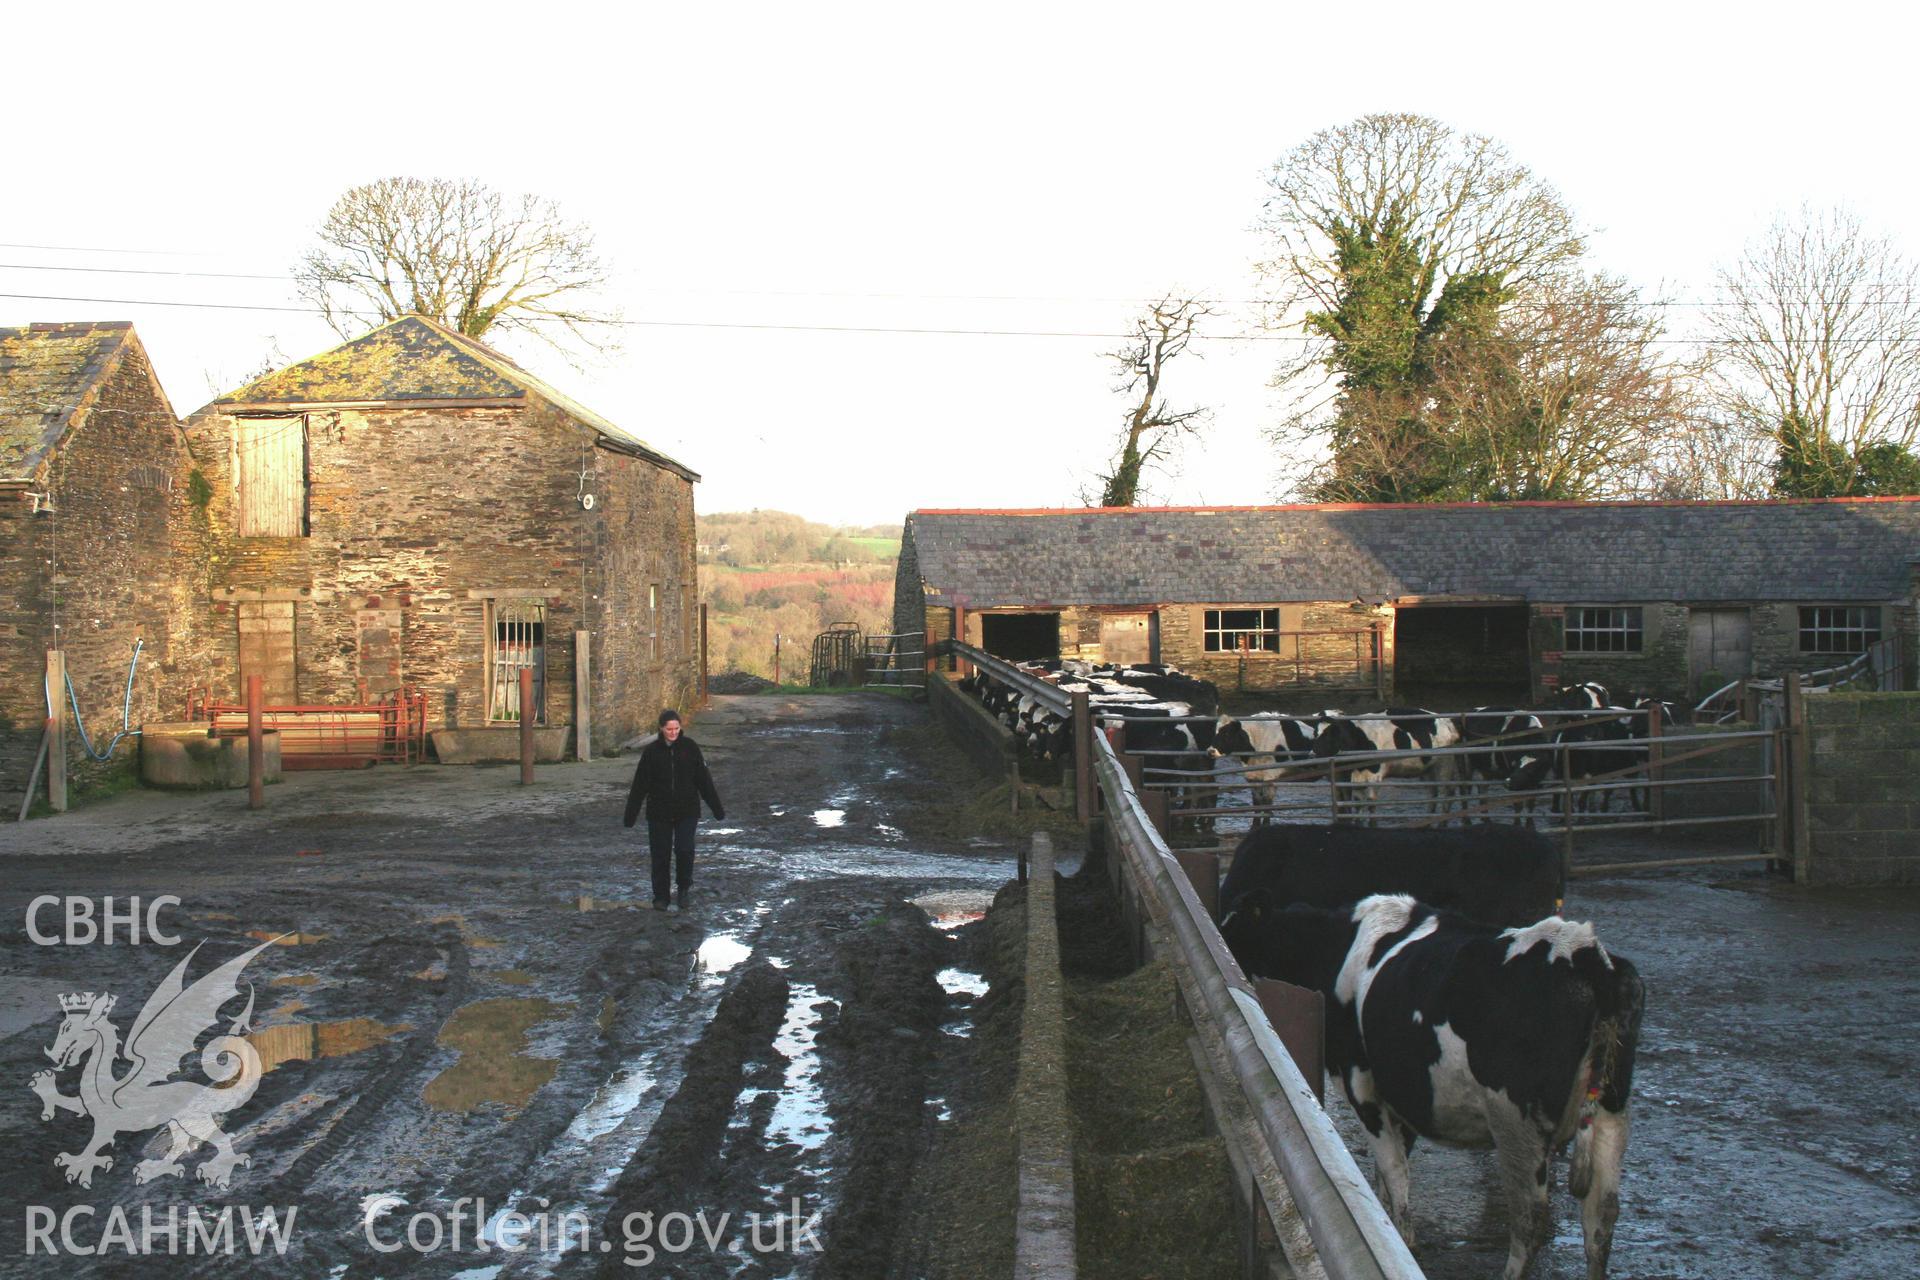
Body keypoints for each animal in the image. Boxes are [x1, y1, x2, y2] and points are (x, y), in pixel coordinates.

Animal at [1221, 890, 1643, 1280]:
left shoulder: (1362, 1084)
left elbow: (1393, 1168)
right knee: (1601, 1217)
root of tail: (1587, 953)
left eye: (1232, 931)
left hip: (1515, 1120)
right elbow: (1390, 1170)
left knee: (1530, 1217)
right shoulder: (1404, 1095)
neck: (1332, 947)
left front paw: (1404, 1240)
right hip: (1612, 1112)